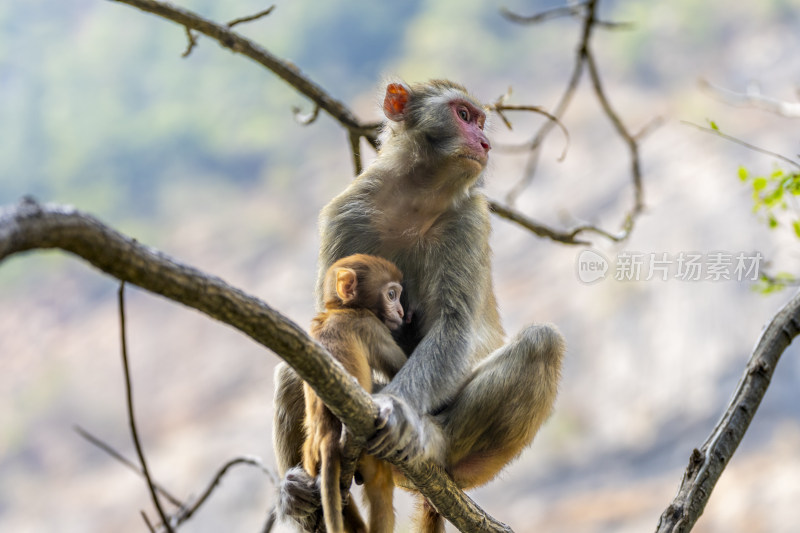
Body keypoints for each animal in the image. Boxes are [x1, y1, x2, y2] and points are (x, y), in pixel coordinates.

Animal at [304, 254, 410, 532]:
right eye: (392, 294)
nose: (401, 312)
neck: (340, 309)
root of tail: (327, 436)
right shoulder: (370, 326)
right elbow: (398, 367)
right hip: (366, 454)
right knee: (381, 488)